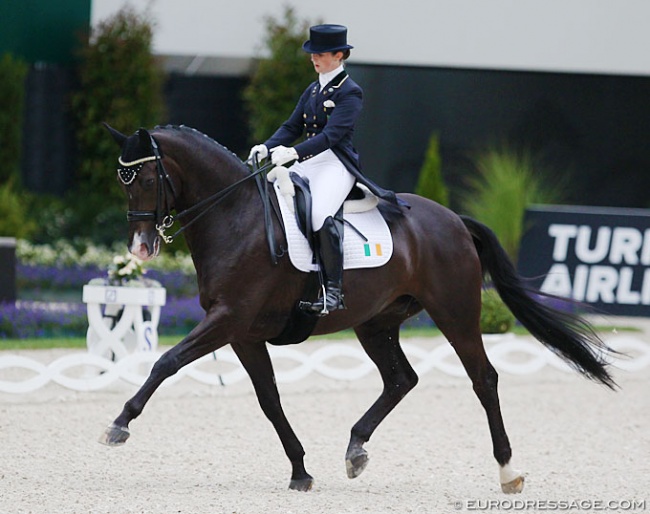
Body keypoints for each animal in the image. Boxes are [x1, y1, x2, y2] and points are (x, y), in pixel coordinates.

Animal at [97, 123, 612, 492]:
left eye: (147, 178)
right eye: (122, 182)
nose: (140, 249)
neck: (235, 217)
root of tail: (452, 220)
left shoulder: (228, 320)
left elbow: (166, 362)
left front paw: (118, 425)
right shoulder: (242, 332)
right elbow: (269, 398)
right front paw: (300, 471)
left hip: (456, 313)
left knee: (483, 379)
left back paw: (508, 472)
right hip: (376, 323)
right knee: (401, 379)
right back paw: (356, 450)